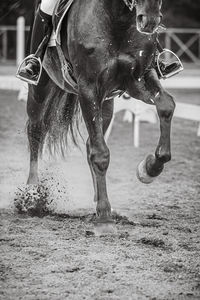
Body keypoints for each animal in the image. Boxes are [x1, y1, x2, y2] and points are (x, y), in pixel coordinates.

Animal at [26, 0, 175, 231]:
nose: (149, 20)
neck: (118, 19)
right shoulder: (88, 89)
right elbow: (101, 154)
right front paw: (104, 217)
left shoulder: (138, 79)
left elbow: (167, 106)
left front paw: (150, 168)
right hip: (40, 89)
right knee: (36, 131)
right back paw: (33, 193)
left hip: (106, 102)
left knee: (90, 143)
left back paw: (97, 200)